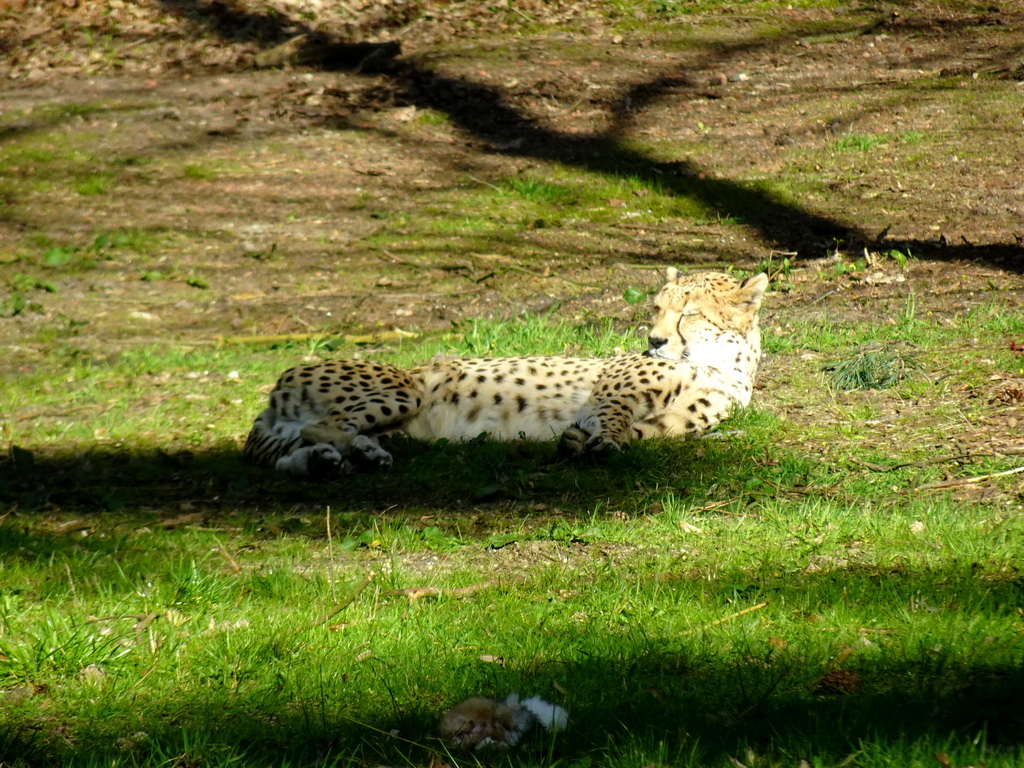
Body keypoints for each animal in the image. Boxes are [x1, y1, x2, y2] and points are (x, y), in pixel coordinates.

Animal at [243, 268, 765, 479]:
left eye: (689, 314)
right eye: (658, 308)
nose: (655, 340)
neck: (719, 362)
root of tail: (278, 387)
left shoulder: (675, 422)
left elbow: (640, 432)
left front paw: (580, 442)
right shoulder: (610, 392)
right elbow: (614, 418)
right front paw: (599, 443)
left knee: (294, 450)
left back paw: (342, 460)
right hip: (404, 387)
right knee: (319, 428)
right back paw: (355, 457)